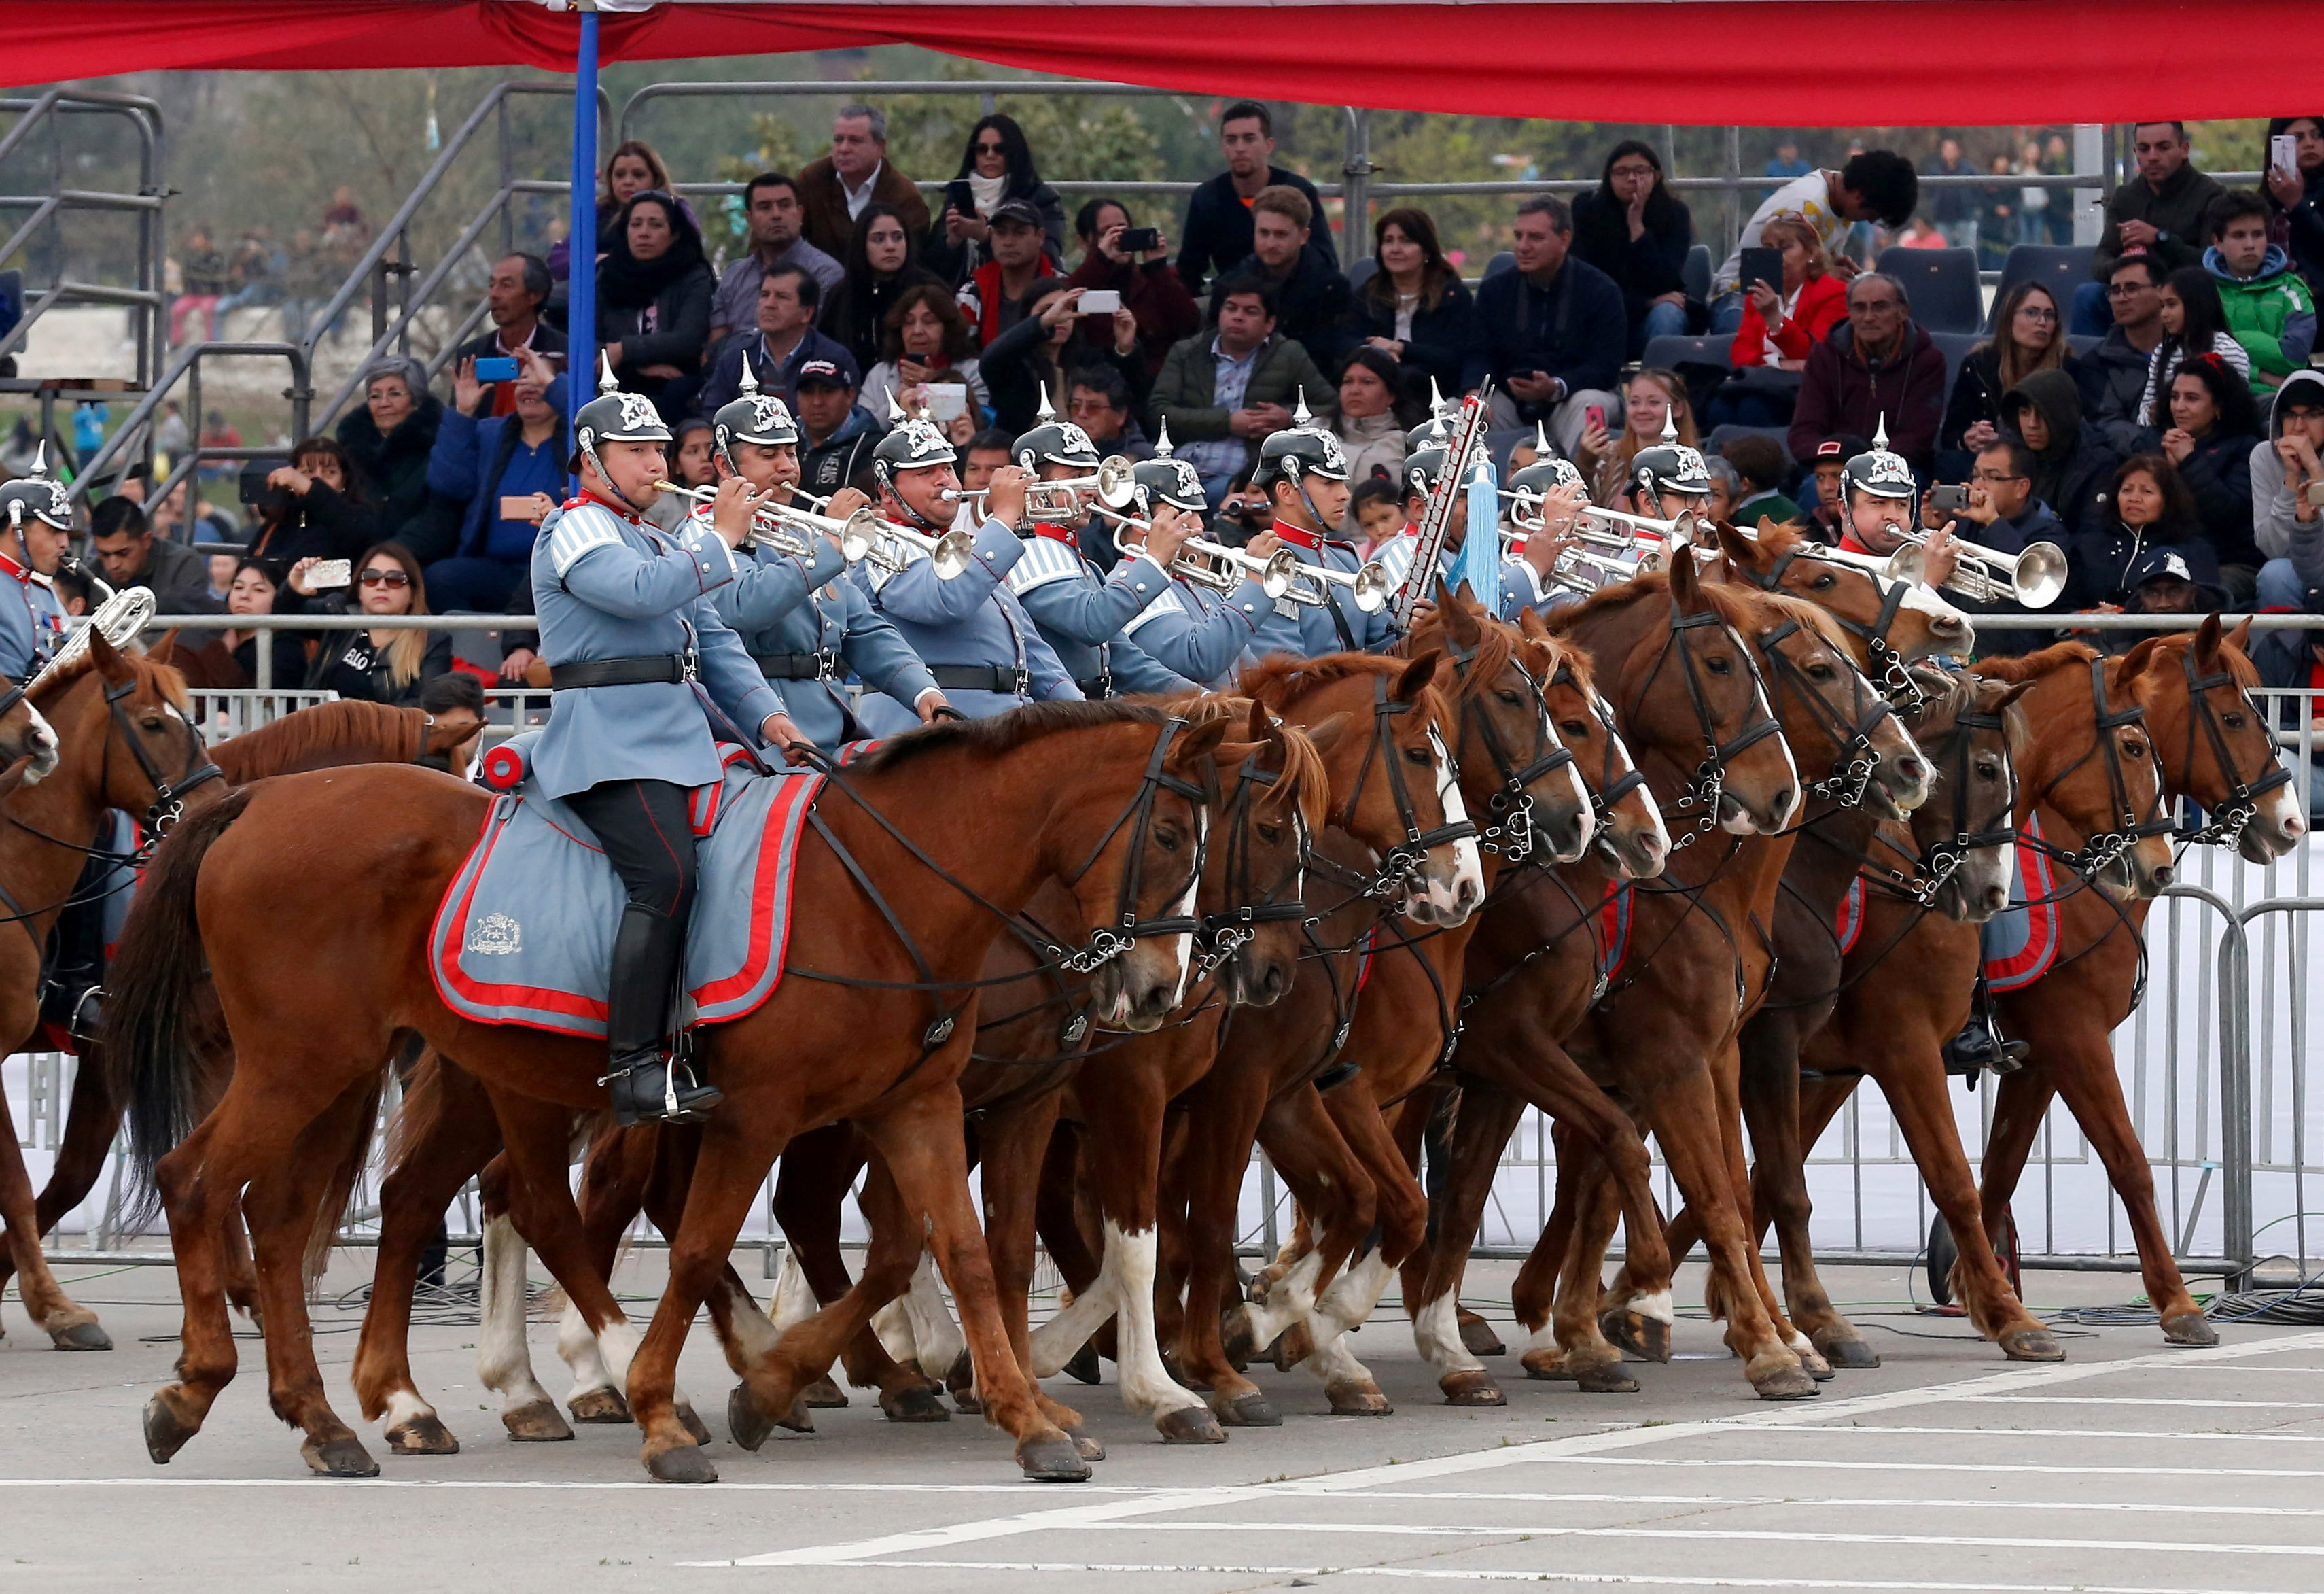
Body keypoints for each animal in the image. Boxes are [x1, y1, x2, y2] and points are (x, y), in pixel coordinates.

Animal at [104, 706, 1357, 1478]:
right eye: (1176, 829)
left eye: (1228, 829)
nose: (1165, 985)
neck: (891, 887)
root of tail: (259, 802)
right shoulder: (766, 1115)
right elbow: (719, 1243)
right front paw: (687, 1407)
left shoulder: (928, 1105)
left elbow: (956, 1249)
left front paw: (1027, 1414)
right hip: (311, 1064)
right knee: (208, 1181)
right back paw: (210, 1391)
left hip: (380, 1069)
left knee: (338, 1212)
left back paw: (344, 1416)